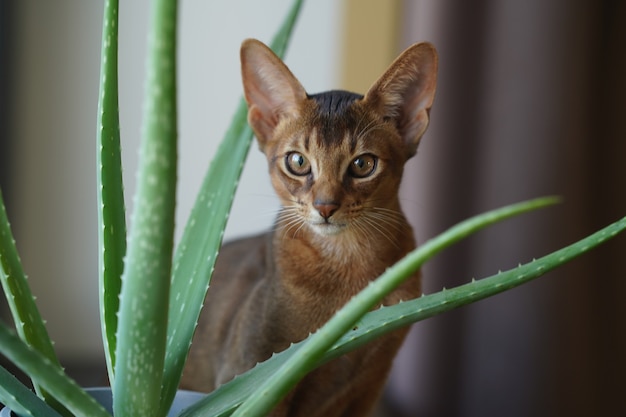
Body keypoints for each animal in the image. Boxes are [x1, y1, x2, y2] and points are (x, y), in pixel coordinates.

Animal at [178, 39, 436, 416]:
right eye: (297, 161)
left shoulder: (371, 382)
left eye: (363, 164)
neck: (348, 270)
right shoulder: (254, 377)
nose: (325, 207)